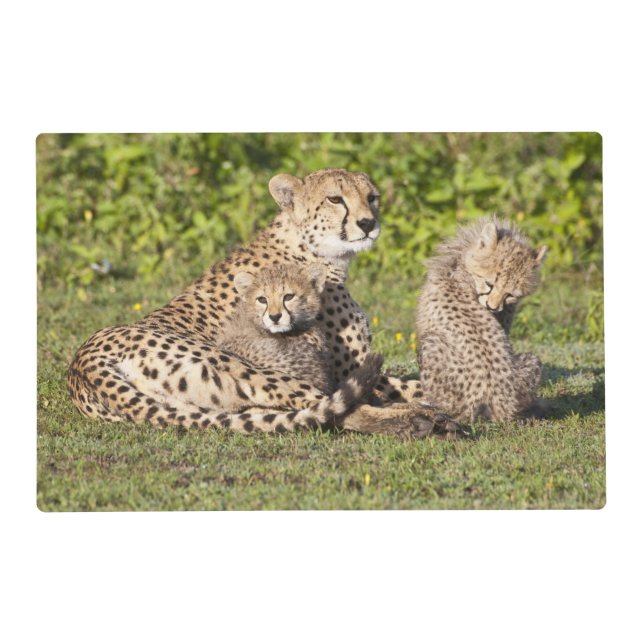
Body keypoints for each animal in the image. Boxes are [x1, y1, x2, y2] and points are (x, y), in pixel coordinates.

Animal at [68, 168, 462, 437]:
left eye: (373, 197)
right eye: (335, 199)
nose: (368, 223)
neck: (310, 249)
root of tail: (83, 364)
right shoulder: (341, 368)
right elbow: (406, 385)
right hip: (246, 367)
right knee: (333, 408)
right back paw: (423, 421)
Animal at [416, 216, 548, 423]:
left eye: (510, 294)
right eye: (489, 284)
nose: (493, 307)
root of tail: (497, 402)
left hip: (431, 343)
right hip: (531, 360)